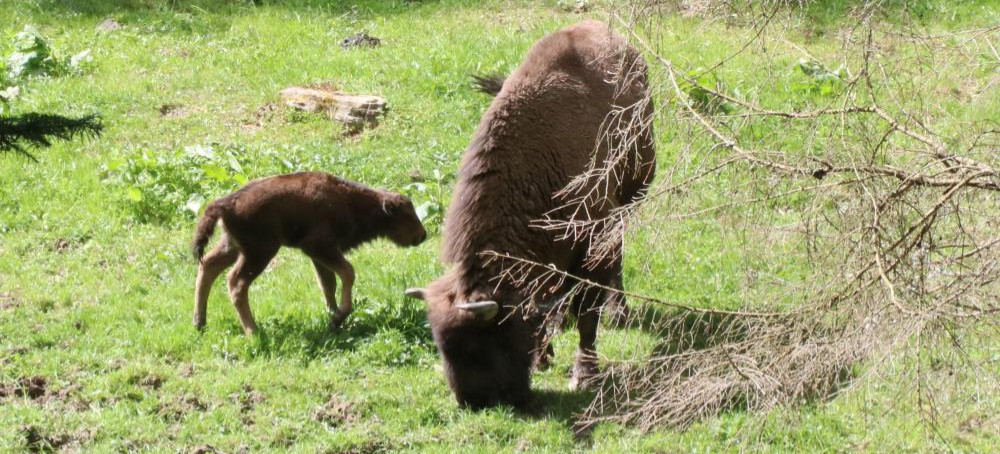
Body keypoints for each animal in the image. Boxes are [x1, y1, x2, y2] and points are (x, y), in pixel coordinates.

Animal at [192, 170, 426, 334]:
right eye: (406, 215)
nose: (422, 235)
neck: (350, 201)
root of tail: (225, 204)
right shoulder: (320, 247)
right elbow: (347, 272)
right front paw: (339, 316)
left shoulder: (319, 256)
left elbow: (328, 284)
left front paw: (334, 319)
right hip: (259, 253)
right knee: (236, 282)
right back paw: (254, 332)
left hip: (233, 247)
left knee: (209, 265)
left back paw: (200, 323)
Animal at [406, 19, 656, 408]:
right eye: (442, 346)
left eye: (487, 342)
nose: (474, 401)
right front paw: (543, 357)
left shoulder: (594, 241)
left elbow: (587, 313)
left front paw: (584, 375)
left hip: (633, 195)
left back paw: (619, 312)